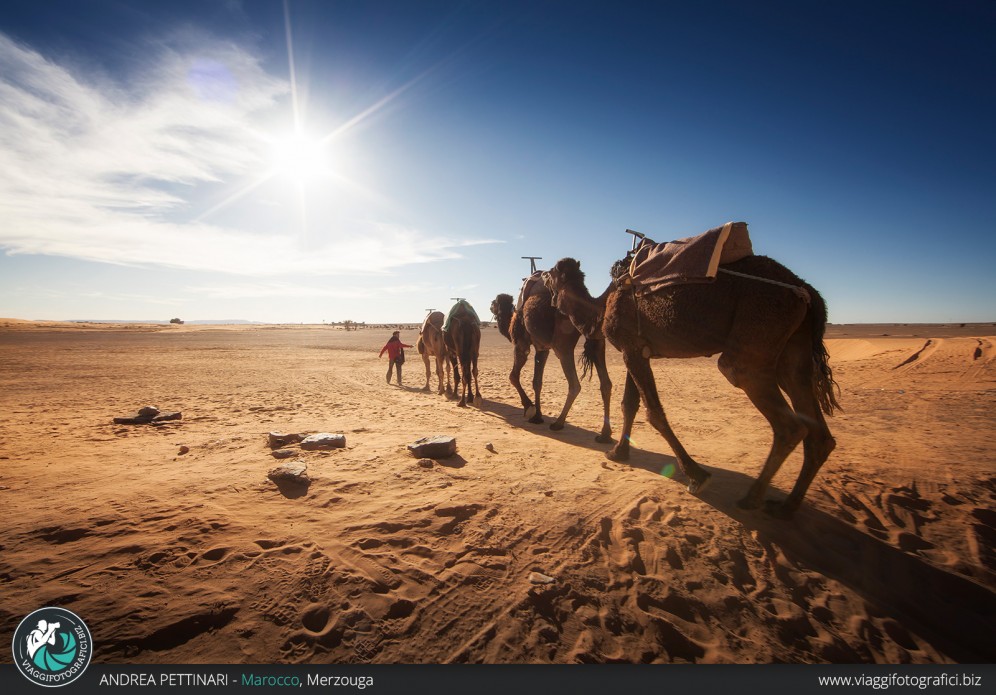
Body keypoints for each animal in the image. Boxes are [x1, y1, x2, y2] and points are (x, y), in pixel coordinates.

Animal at [492, 282, 616, 446]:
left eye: (494, 303)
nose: (490, 306)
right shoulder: (542, 348)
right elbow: (537, 382)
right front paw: (537, 416)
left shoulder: (521, 344)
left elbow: (513, 376)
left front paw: (529, 407)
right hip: (597, 339)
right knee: (606, 383)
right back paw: (605, 435)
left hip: (562, 344)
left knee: (575, 384)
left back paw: (558, 423)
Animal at [544, 253, 840, 520]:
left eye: (552, 272)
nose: (543, 276)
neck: (603, 306)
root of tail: (806, 291)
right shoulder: (635, 348)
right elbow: (630, 404)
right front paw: (619, 452)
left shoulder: (631, 349)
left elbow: (654, 413)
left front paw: (697, 475)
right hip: (794, 348)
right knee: (815, 425)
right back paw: (786, 507)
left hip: (756, 340)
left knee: (787, 423)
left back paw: (751, 498)